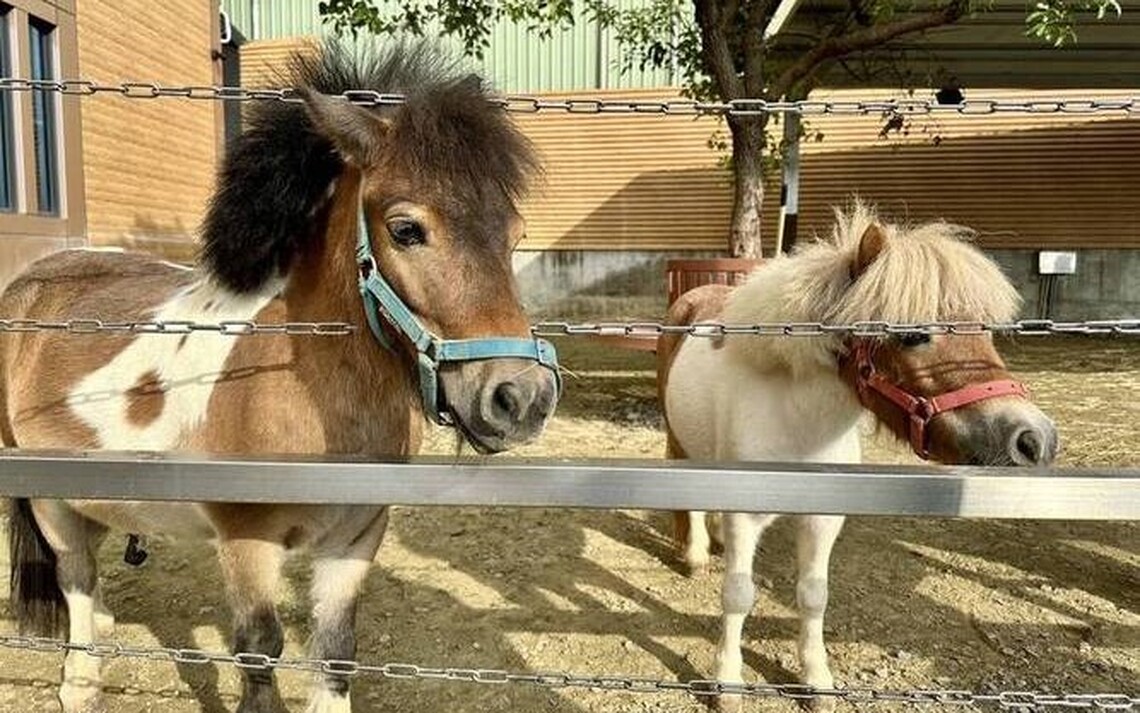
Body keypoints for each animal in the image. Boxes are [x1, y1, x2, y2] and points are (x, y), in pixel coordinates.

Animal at [1, 41, 560, 713]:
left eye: (514, 234)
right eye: (406, 229)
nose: (520, 397)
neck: (303, 390)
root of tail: (32, 281)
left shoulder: (355, 537)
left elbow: (337, 649)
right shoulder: (247, 542)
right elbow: (259, 650)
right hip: (47, 497)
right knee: (75, 574)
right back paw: (81, 680)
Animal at [657, 202, 1058, 711]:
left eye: (985, 332)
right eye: (912, 335)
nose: (1034, 440)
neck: (799, 423)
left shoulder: (823, 517)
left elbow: (813, 595)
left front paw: (816, 680)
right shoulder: (746, 514)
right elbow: (738, 594)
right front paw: (727, 683)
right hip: (677, 438)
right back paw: (694, 553)